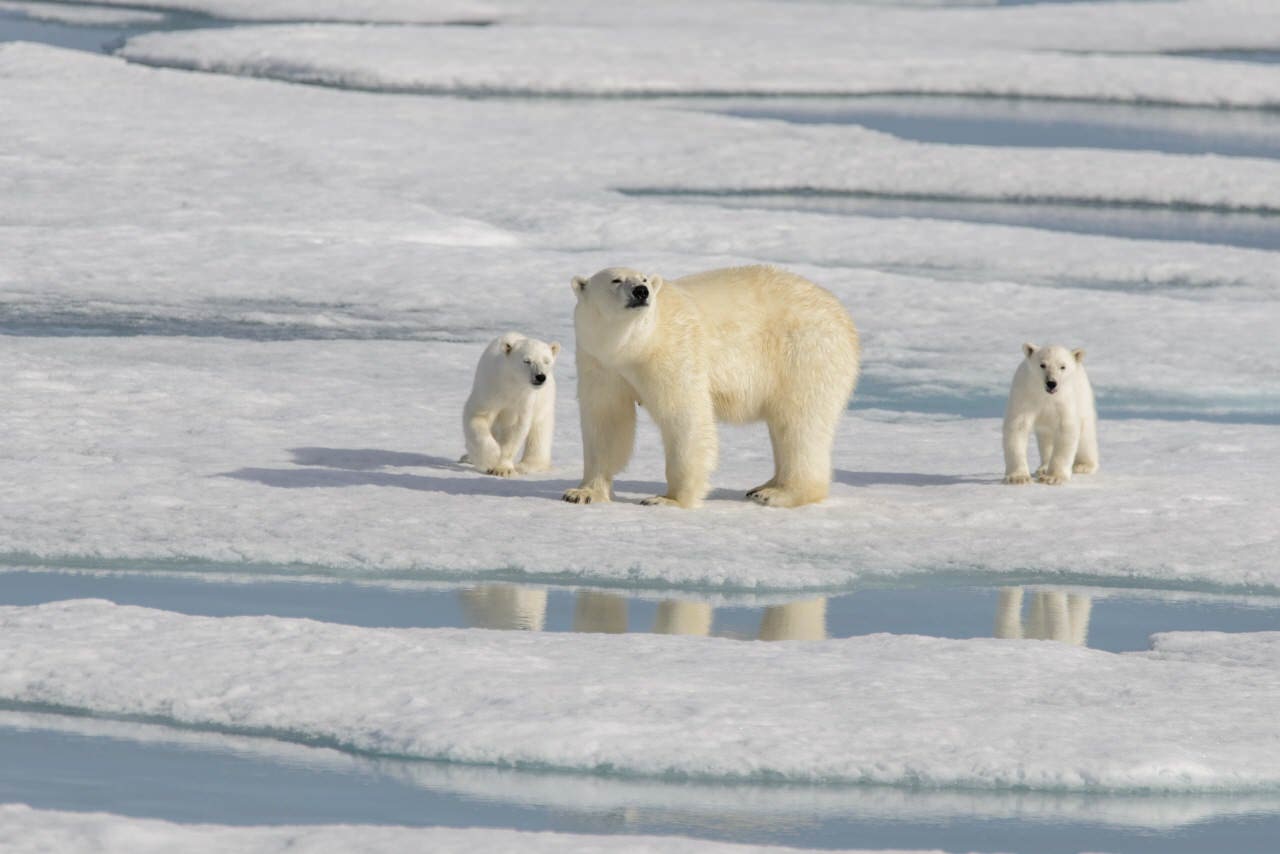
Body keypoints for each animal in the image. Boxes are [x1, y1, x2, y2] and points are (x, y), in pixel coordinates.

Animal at [463, 332, 558, 478]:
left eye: (546, 361)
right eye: (527, 361)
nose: (540, 376)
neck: (511, 383)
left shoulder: (523, 400)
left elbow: (515, 428)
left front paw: (503, 469)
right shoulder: (489, 390)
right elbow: (478, 417)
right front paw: (491, 457)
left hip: (544, 399)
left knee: (540, 429)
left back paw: (527, 465)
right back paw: (467, 458)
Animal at [560, 265, 860, 507]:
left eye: (644, 278)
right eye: (616, 280)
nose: (641, 291)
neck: (632, 346)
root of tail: (843, 316)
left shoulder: (672, 352)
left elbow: (684, 417)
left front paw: (668, 499)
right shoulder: (600, 364)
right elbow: (606, 421)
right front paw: (582, 492)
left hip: (805, 354)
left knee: (800, 423)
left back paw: (779, 494)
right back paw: (764, 486)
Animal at [1003, 343, 1095, 486]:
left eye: (1063, 366)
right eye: (1043, 365)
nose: (1051, 383)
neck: (1046, 396)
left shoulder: (1065, 401)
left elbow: (1066, 430)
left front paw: (1053, 477)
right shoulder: (1025, 396)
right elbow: (1017, 427)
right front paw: (1018, 477)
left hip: (1083, 396)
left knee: (1086, 433)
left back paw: (1083, 465)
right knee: (1045, 436)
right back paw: (1043, 467)